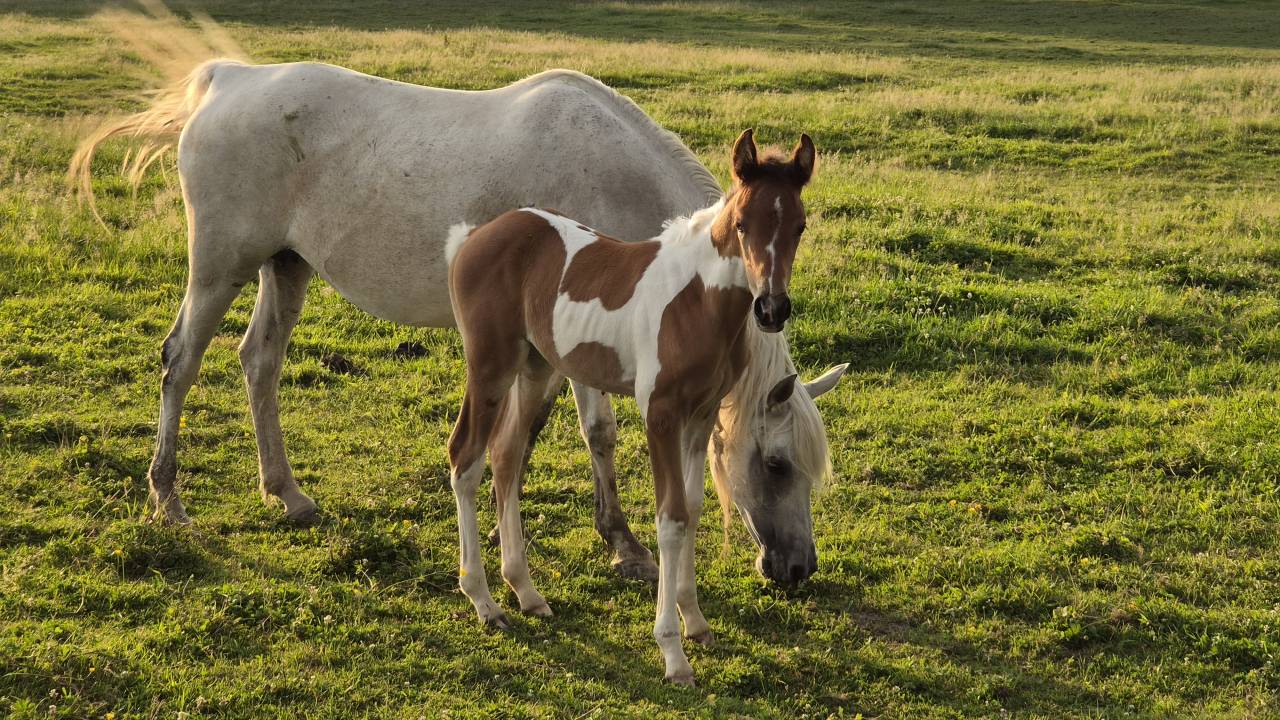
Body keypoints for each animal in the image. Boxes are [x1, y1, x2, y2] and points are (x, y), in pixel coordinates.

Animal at [70, 60, 848, 584]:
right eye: (776, 463)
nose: (798, 568)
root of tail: (229, 79)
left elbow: (530, 434)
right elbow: (595, 432)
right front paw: (622, 543)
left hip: (285, 267)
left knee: (258, 362)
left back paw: (285, 493)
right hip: (220, 267)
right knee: (181, 361)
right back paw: (166, 497)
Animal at [447, 129, 815, 685]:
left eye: (799, 225)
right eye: (743, 225)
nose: (771, 309)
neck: (698, 301)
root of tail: (474, 237)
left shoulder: (701, 415)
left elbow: (693, 509)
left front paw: (696, 621)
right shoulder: (660, 415)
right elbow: (670, 519)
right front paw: (673, 653)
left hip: (535, 367)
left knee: (506, 455)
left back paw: (526, 593)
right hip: (490, 365)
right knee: (465, 459)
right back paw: (485, 603)